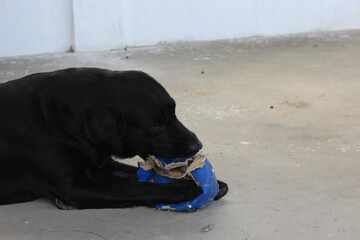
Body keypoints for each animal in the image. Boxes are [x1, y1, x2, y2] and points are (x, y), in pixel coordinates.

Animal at [0, 68, 228, 209]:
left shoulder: (102, 163)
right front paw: (185, 188)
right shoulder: (74, 186)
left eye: (174, 113)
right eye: (156, 124)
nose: (197, 145)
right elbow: (138, 187)